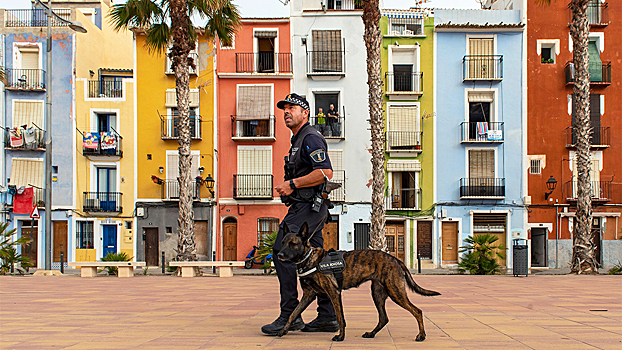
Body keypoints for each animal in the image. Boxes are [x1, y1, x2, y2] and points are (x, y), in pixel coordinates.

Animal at [276, 221, 442, 342]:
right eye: (283, 242)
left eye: (293, 244)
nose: (279, 255)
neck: (308, 259)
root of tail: (396, 260)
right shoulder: (308, 295)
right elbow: (293, 314)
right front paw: (283, 330)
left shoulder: (334, 293)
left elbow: (340, 317)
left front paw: (340, 336)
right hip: (378, 294)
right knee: (384, 318)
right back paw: (371, 334)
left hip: (396, 292)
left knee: (417, 311)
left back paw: (421, 335)